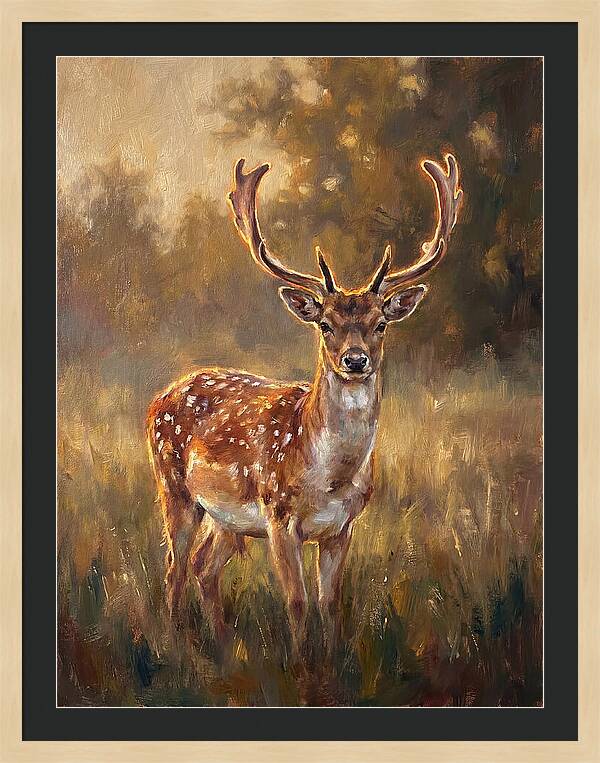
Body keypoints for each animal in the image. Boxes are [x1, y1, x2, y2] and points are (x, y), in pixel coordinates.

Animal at [146, 153, 463, 661]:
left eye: (380, 324)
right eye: (326, 324)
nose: (355, 360)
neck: (329, 478)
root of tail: (162, 395)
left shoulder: (342, 527)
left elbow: (329, 603)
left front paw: (330, 662)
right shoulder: (279, 517)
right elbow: (296, 602)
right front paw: (300, 666)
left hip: (226, 518)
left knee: (202, 566)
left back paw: (223, 645)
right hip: (174, 488)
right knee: (174, 567)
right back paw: (177, 646)